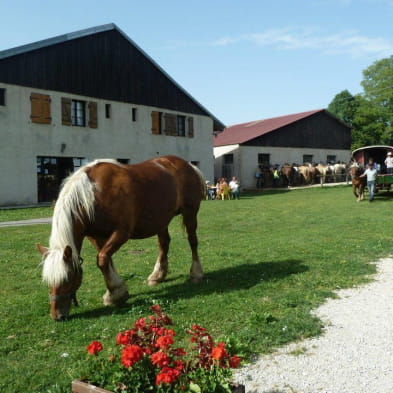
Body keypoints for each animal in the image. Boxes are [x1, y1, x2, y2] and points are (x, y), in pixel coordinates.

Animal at [36, 155, 205, 320]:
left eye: (67, 277)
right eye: (47, 280)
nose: (57, 315)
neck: (94, 193)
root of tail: (188, 165)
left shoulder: (121, 233)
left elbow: (102, 259)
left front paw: (115, 295)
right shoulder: (96, 236)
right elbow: (106, 260)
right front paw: (117, 291)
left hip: (190, 213)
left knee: (193, 241)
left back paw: (196, 274)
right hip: (161, 220)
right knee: (164, 244)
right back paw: (157, 275)